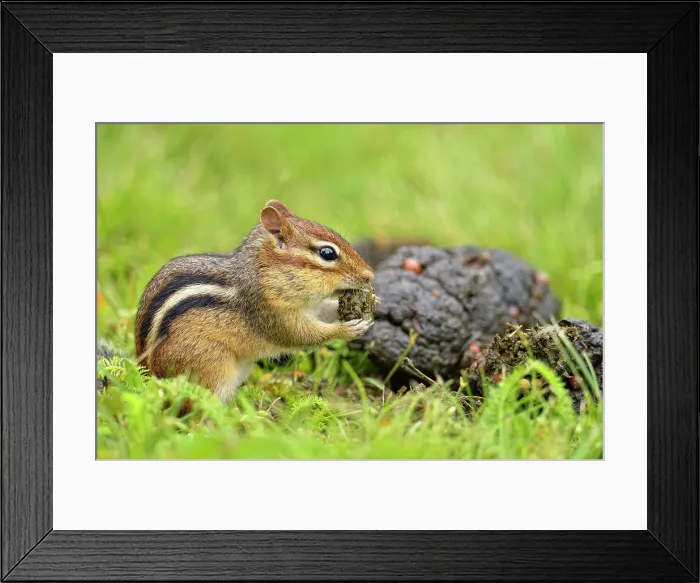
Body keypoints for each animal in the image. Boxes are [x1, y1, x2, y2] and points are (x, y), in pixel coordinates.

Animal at [133, 200, 376, 402]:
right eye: (327, 253)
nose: (370, 275)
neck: (265, 272)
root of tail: (147, 376)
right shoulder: (270, 312)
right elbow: (301, 335)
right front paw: (347, 329)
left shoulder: (310, 307)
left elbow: (324, 311)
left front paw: (373, 300)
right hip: (211, 366)